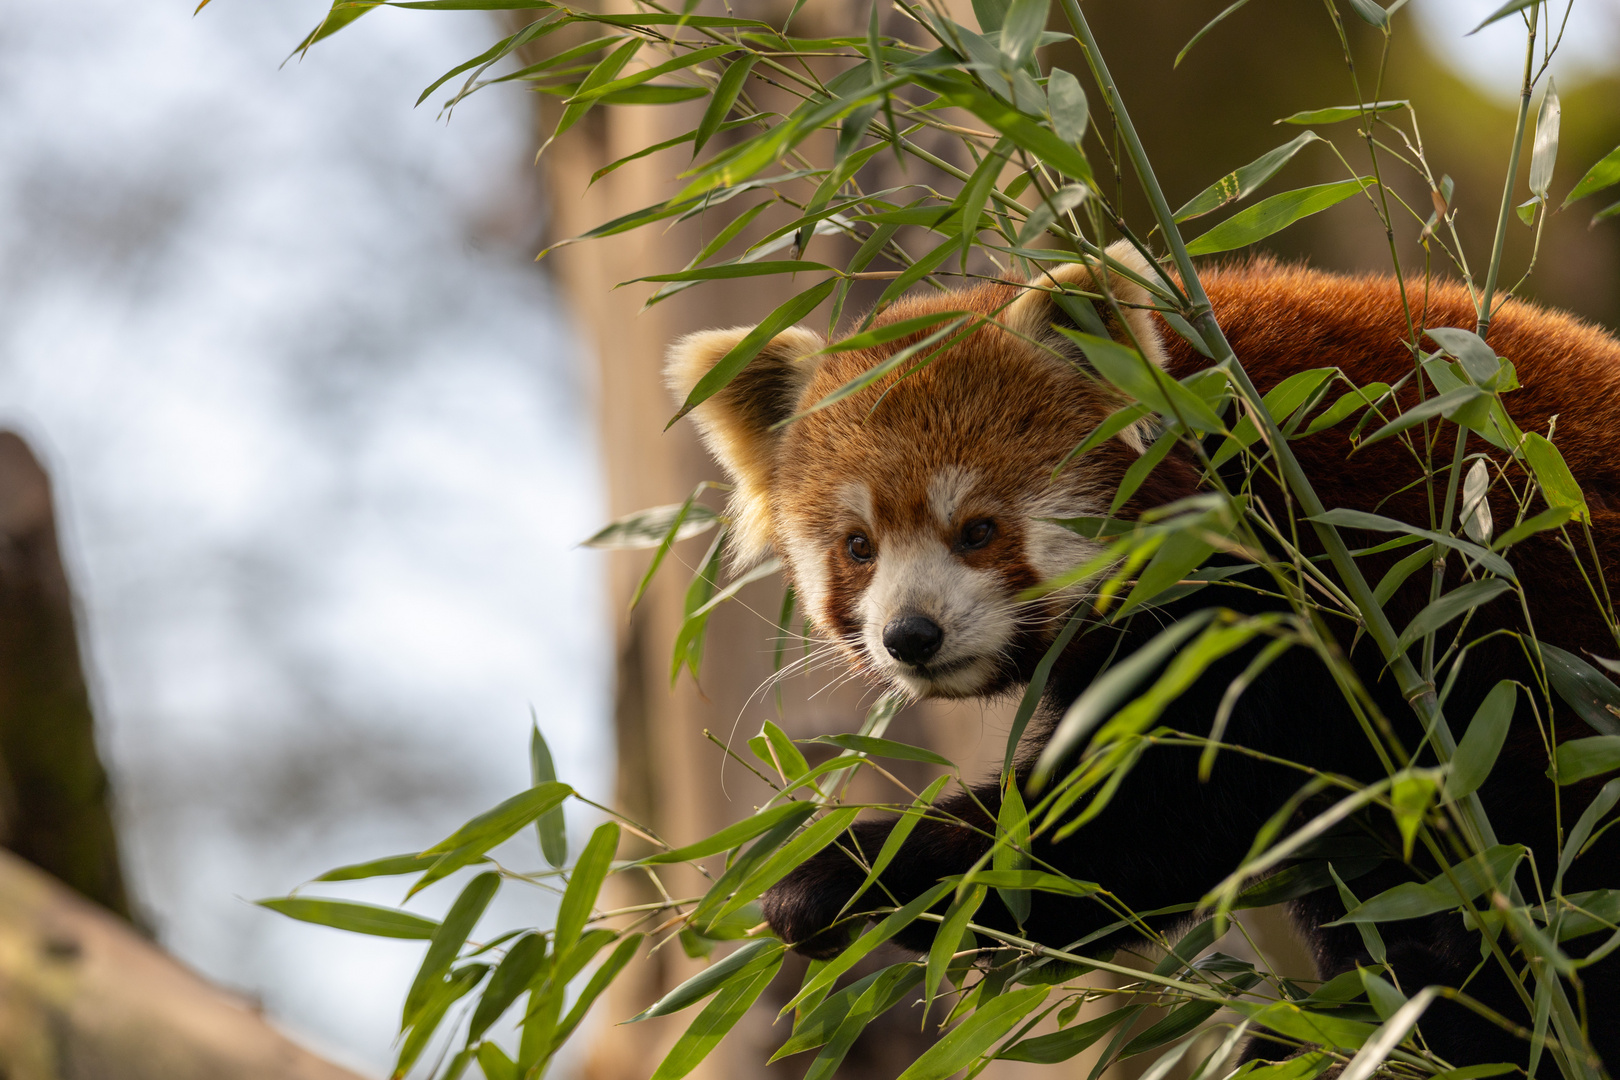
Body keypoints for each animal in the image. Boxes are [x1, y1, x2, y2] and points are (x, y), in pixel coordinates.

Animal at [660, 247, 1620, 1075]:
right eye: (858, 547)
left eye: (978, 530)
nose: (911, 634)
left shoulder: (1289, 594)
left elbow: (1153, 810)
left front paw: (842, 872)